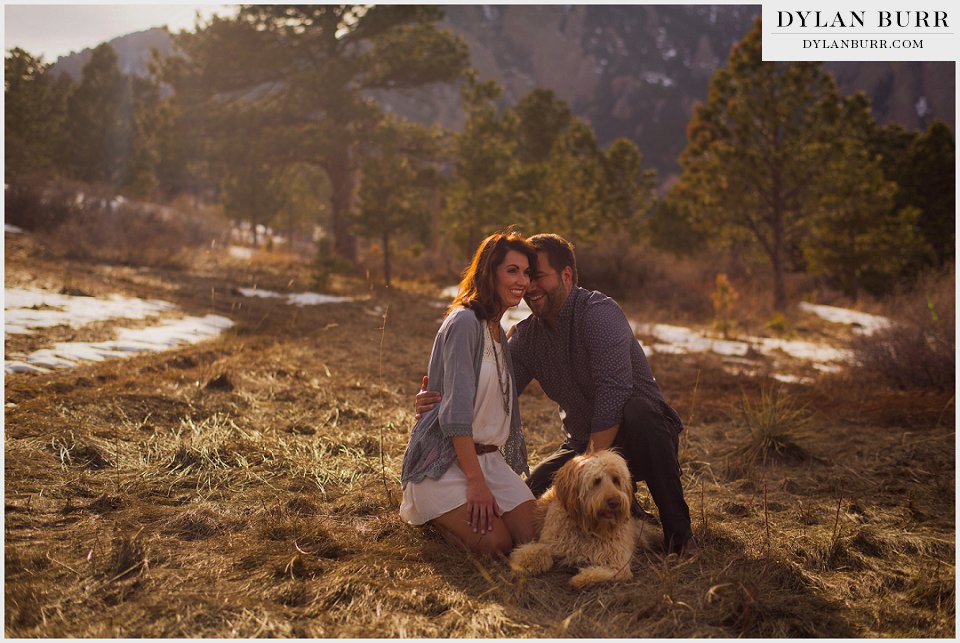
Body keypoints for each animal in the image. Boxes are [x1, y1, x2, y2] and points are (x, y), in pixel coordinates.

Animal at [510, 450, 652, 592]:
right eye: (596, 481)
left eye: (616, 480)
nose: (614, 502)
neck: (588, 527)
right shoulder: (554, 543)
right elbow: (539, 550)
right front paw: (523, 562)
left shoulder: (618, 562)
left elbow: (606, 573)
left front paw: (580, 580)